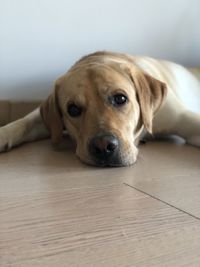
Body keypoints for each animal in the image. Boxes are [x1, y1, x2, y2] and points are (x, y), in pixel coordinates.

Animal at [0, 51, 200, 166]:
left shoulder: (181, 117)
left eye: (120, 98)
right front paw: (3, 134)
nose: (103, 147)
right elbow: (24, 122)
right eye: (73, 109)